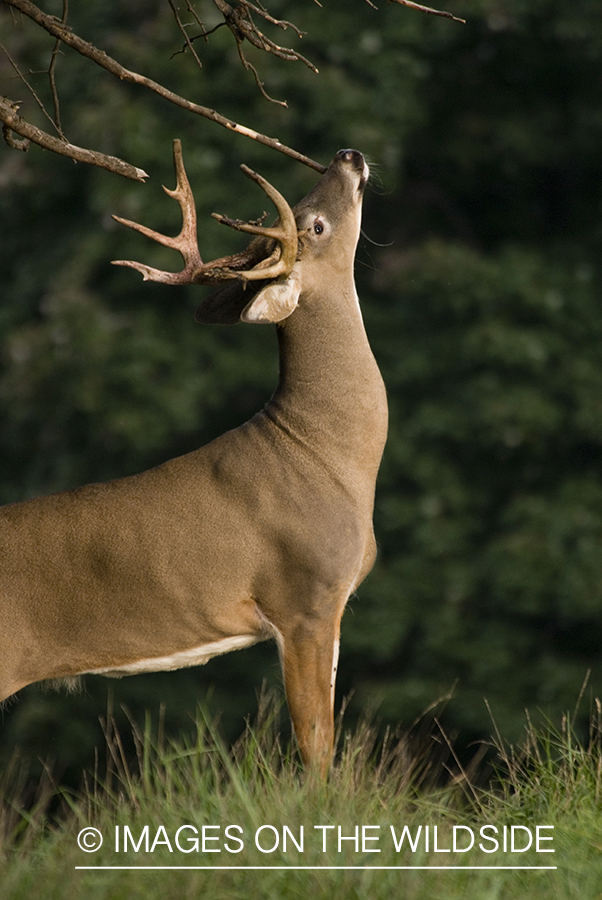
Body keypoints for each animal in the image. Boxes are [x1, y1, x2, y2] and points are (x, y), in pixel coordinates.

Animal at [0, 141, 384, 772]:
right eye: (316, 225)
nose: (348, 155)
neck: (328, 454)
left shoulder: (331, 606)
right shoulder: (303, 598)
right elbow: (316, 749)